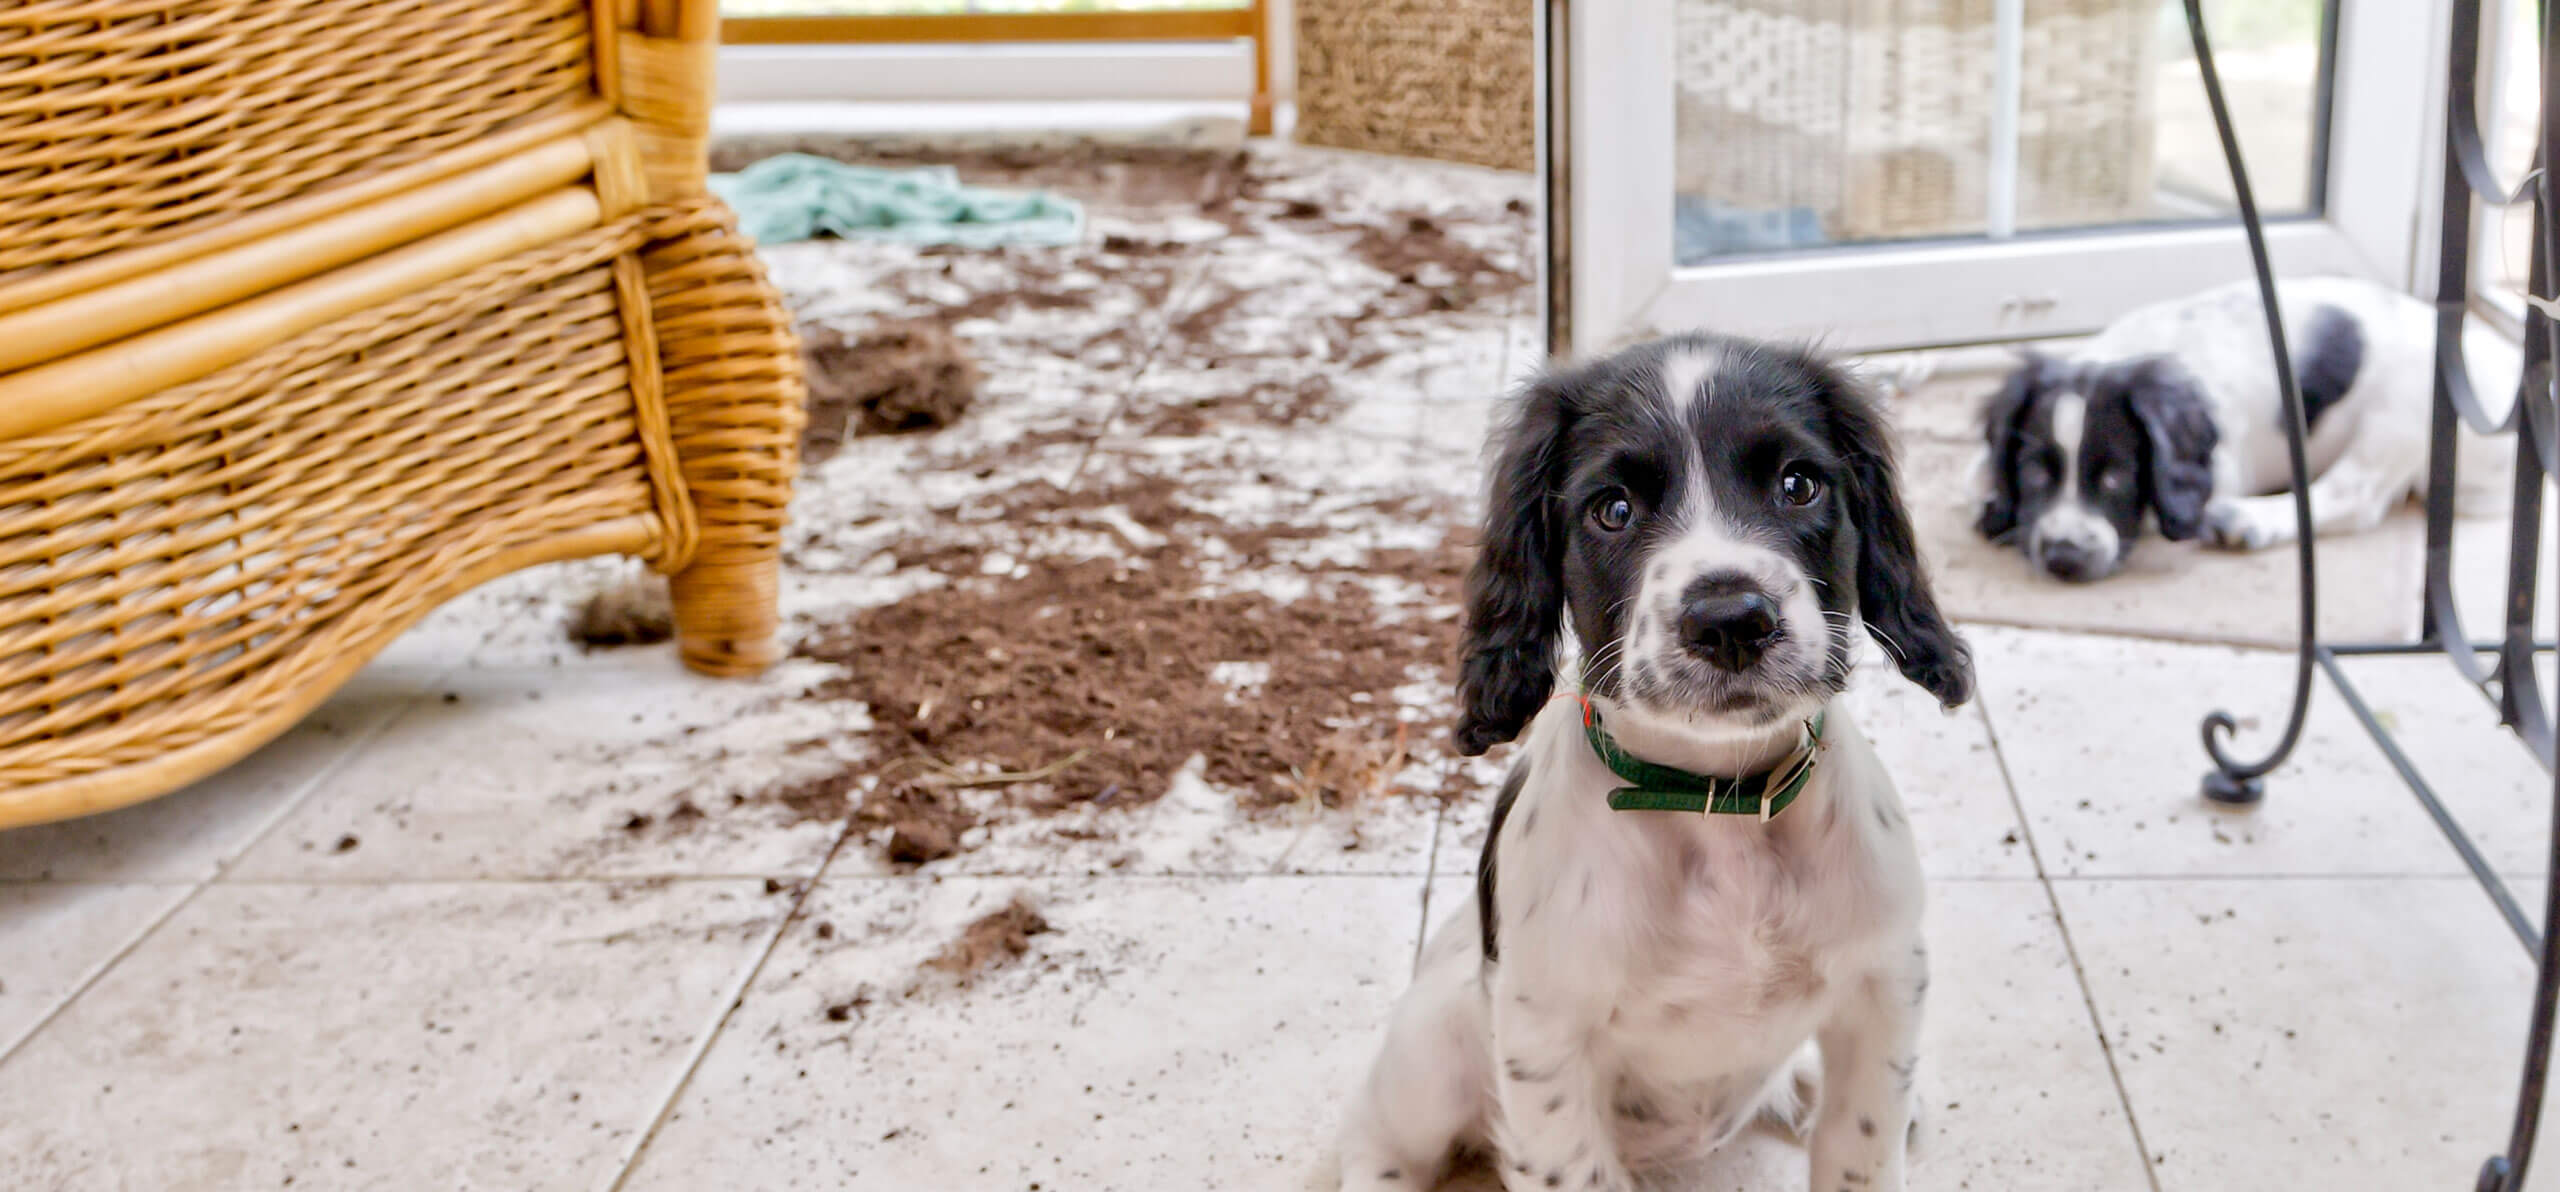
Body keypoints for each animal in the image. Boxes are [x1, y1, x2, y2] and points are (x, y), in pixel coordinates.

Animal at [1331, 335, 1966, 1192]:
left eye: (1798, 484)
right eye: (1613, 509)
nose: (1731, 620)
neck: (1718, 803)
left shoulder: (1886, 985)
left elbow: (1860, 1154)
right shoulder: (1544, 1041)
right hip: (1432, 1050)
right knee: (1375, 1142)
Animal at [1976, 274, 2519, 583]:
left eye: (2116, 478)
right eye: (2033, 472)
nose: (2064, 557)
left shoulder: (2221, 468)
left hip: (2409, 402)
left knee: (2353, 497)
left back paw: (2247, 521)